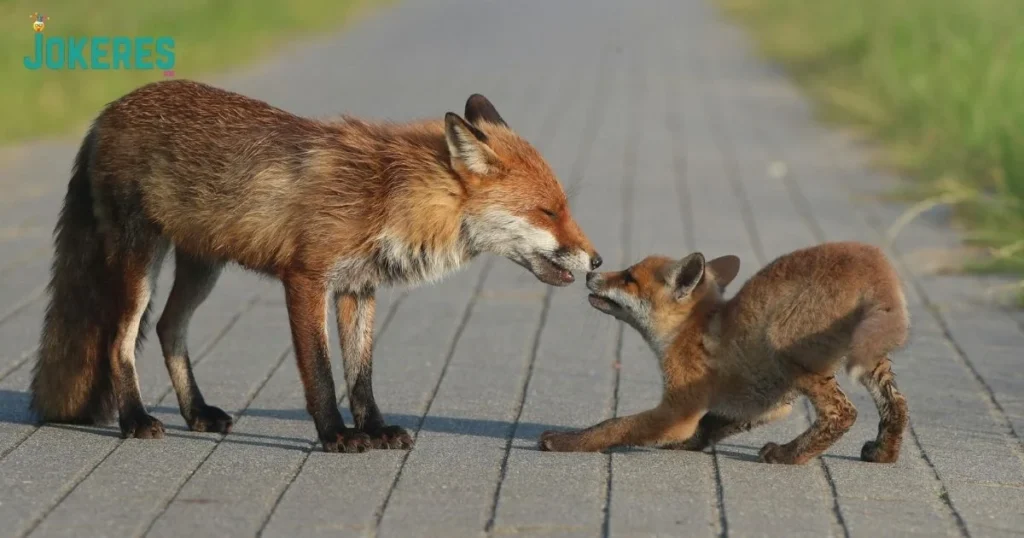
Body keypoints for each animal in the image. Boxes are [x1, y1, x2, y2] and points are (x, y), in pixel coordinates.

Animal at [30, 79, 602, 453]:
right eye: (548, 212)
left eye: (563, 208)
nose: (597, 259)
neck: (388, 194)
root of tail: (108, 110)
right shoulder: (305, 279)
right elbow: (322, 374)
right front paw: (336, 435)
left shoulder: (358, 287)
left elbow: (361, 375)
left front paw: (375, 429)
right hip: (141, 263)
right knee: (119, 341)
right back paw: (135, 419)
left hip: (203, 266)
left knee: (170, 330)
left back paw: (197, 413)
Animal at [539, 241, 910, 465]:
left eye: (629, 277)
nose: (592, 272)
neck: (690, 329)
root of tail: (872, 259)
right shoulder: (767, 404)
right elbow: (709, 425)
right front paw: (688, 444)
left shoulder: (678, 409)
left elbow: (614, 425)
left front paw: (564, 441)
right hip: (872, 361)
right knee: (898, 407)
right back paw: (884, 452)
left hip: (786, 350)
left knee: (842, 413)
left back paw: (787, 455)